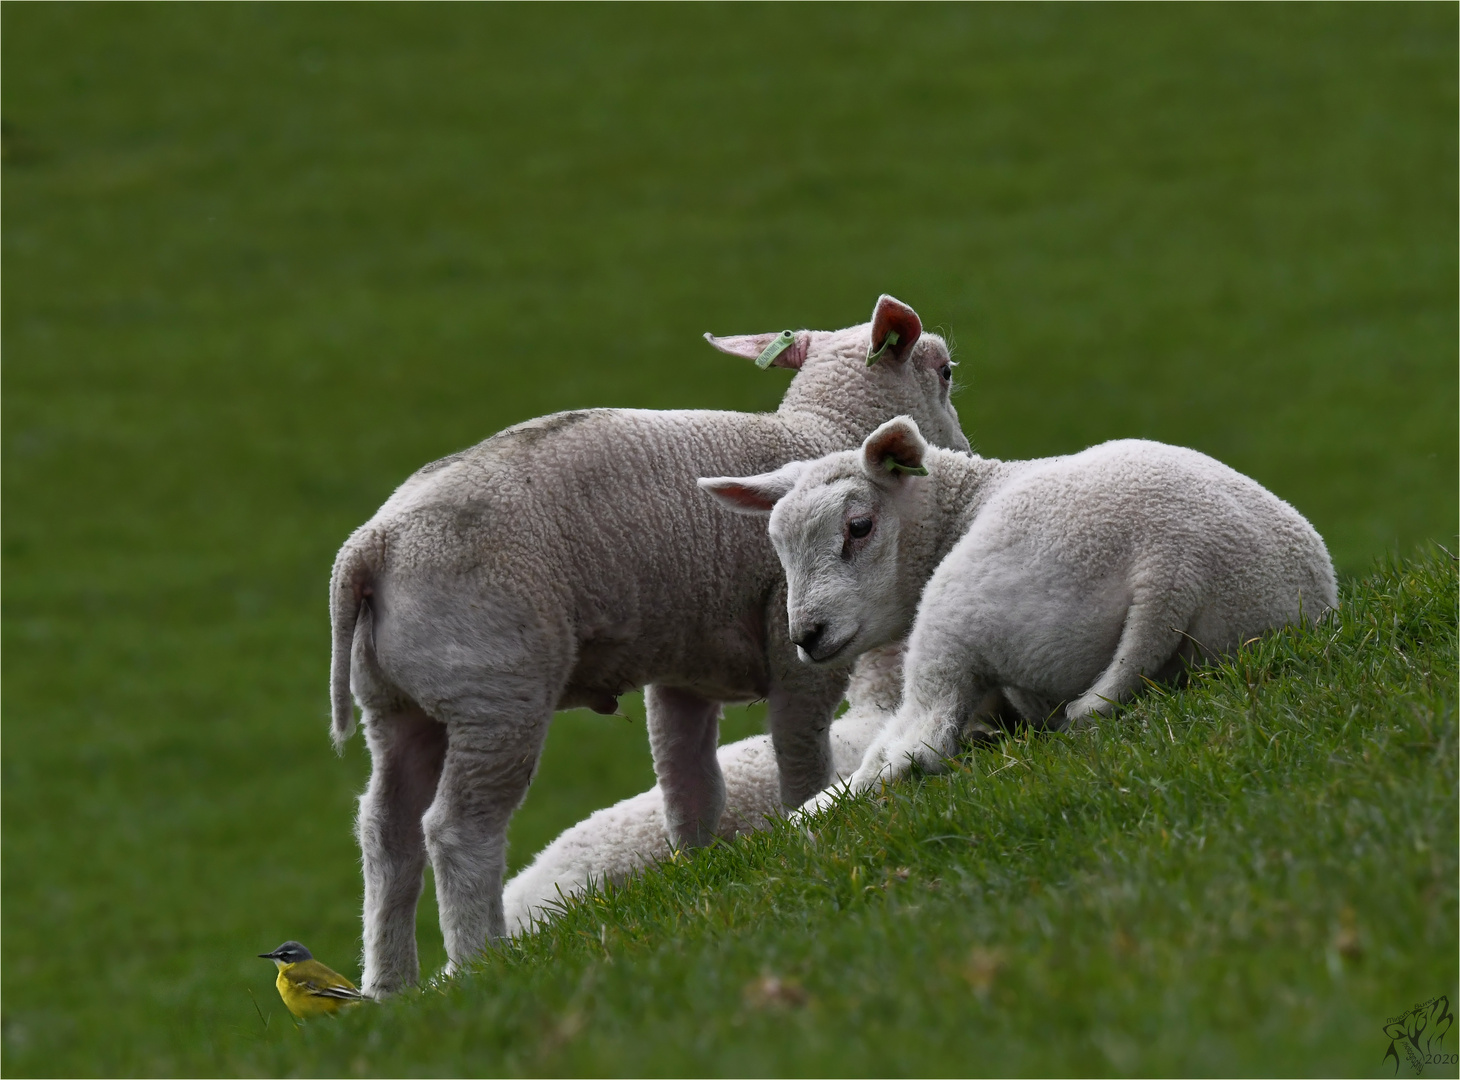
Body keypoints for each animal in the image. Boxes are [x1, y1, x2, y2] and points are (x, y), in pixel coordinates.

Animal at [700, 417, 1337, 805]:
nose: (806, 634)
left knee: (917, 744)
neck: (963, 503)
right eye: (779, 547)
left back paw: (814, 816)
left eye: (859, 527)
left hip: (957, 611)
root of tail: (1175, 562)